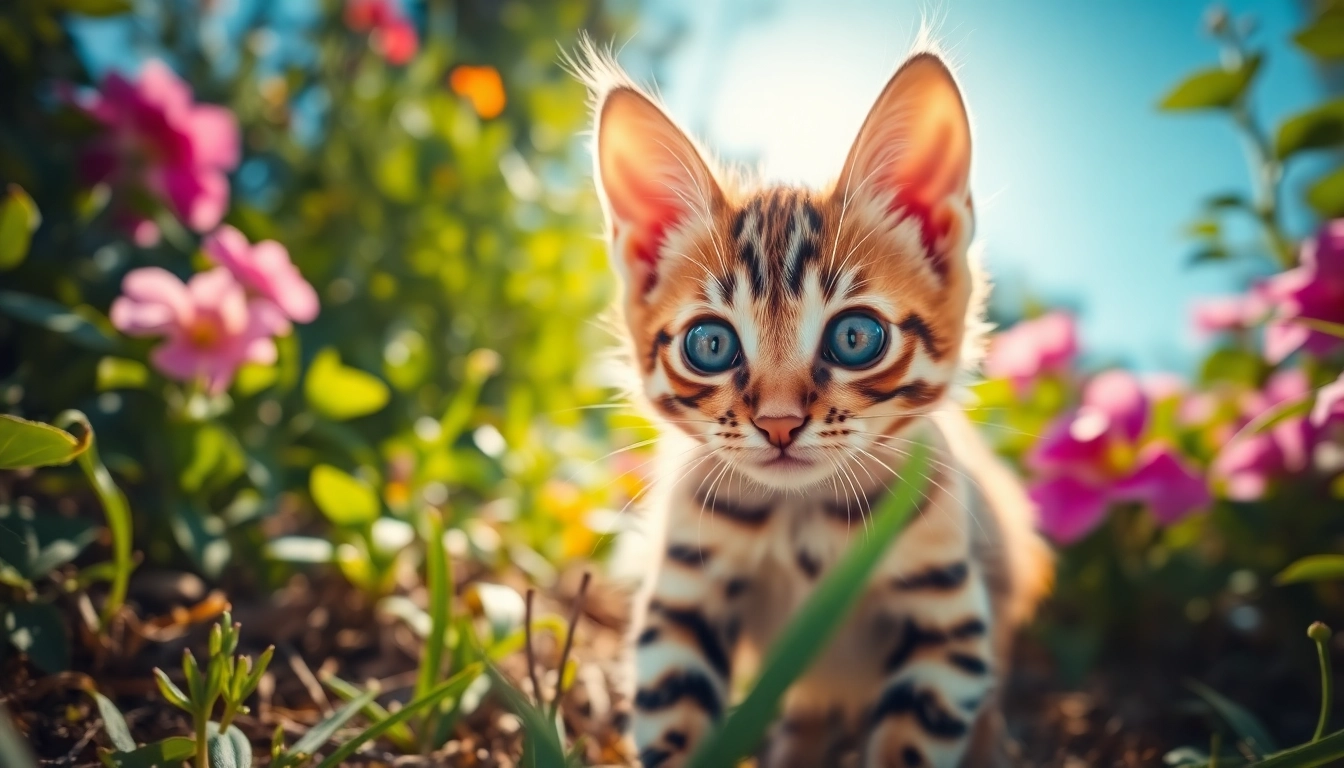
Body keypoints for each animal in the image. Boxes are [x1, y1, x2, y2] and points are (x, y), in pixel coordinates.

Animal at [572, 42, 1053, 768]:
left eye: (856, 338)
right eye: (710, 344)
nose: (778, 423)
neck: (803, 518)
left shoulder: (947, 628)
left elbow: (910, 750)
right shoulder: (684, 600)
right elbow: (677, 734)